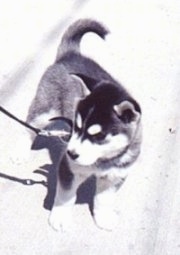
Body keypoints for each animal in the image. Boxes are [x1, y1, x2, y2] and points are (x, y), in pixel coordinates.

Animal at [26, 18, 142, 230]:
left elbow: (104, 200)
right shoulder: (69, 169)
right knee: (28, 126)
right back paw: (18, 153)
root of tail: (71, 54)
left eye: (99, 136)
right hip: (45, 109)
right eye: (77, 127)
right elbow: (65, 196)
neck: (102, 161)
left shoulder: (115, 176)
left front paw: (103, 217)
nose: (71, 153)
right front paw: (60, 217)